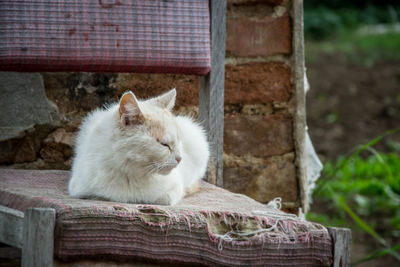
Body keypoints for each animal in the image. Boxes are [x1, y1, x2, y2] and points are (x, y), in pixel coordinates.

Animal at [68, 89, 209, 206]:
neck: (131, 172)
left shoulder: (175, 188)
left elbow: (165, 197)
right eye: (164, 144)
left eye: (179, 142)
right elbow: (99, 195)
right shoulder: (79, 188)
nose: (180, 159)